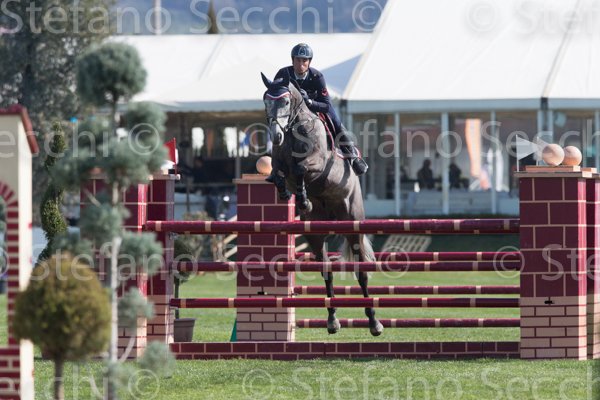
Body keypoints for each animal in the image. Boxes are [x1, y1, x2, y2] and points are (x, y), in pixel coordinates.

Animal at [261, 72, 384, 336]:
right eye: (265, 100)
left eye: (286, 101)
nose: (276, 136)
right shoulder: (279, 164)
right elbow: (278, 174)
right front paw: (291, 195)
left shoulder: (317, 163)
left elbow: (300, 168)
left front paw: (303, 198)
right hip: (315, 236)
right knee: (326, 271)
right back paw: (332, 320)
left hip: (353, 227)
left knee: (361, 273)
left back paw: (374, 323)